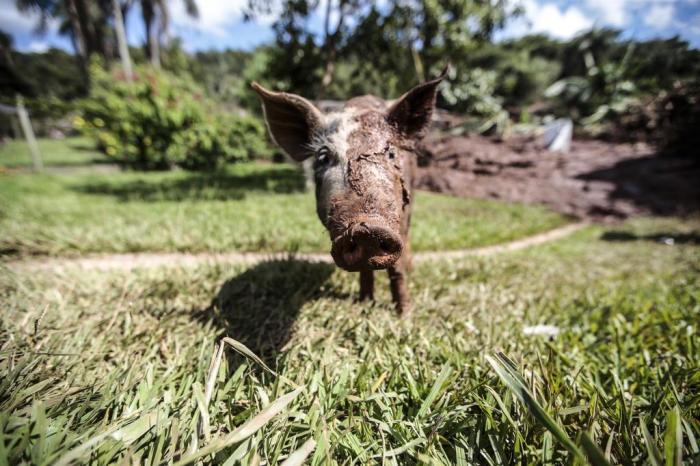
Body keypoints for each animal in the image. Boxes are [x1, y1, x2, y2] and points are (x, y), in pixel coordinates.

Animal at [253, 68, 448, 316]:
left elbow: (397, 267)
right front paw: (365, 303)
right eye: (323, 156)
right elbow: (364, 271)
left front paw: (404, 314)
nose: (367, 230)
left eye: (391, 153)